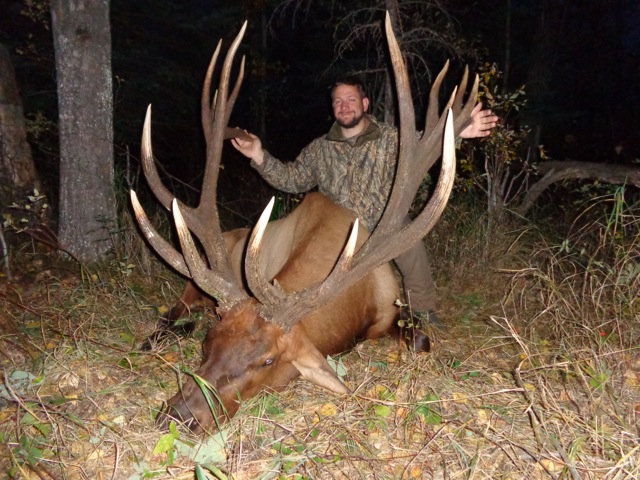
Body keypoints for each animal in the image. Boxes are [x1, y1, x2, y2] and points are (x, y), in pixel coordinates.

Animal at [131, 14, 478, 434]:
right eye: (209, 342)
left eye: (267, 360)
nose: (178, 416)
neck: (353, 308)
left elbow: (422, 340)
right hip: (193, 285)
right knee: (173, 312)